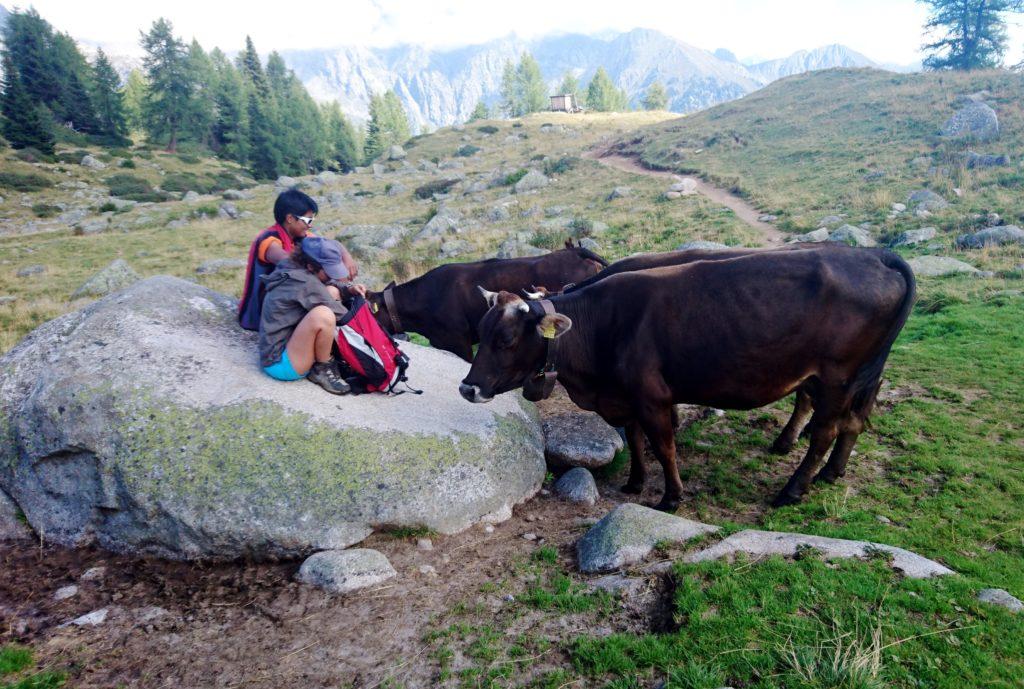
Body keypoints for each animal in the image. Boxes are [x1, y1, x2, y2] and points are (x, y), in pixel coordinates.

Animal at [460, 247, 917, 509]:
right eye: (480, 331)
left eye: (505, 339)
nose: (467, 387)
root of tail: (872, 255)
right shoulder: (625, 398)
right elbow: (636, 441)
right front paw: (635, 483)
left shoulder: (652, 397)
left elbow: (665, 447)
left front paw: (671, 497)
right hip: (858, 378)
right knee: (853, 423)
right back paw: (830, 473)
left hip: (837, 378)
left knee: (825, 432)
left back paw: (792, 490)